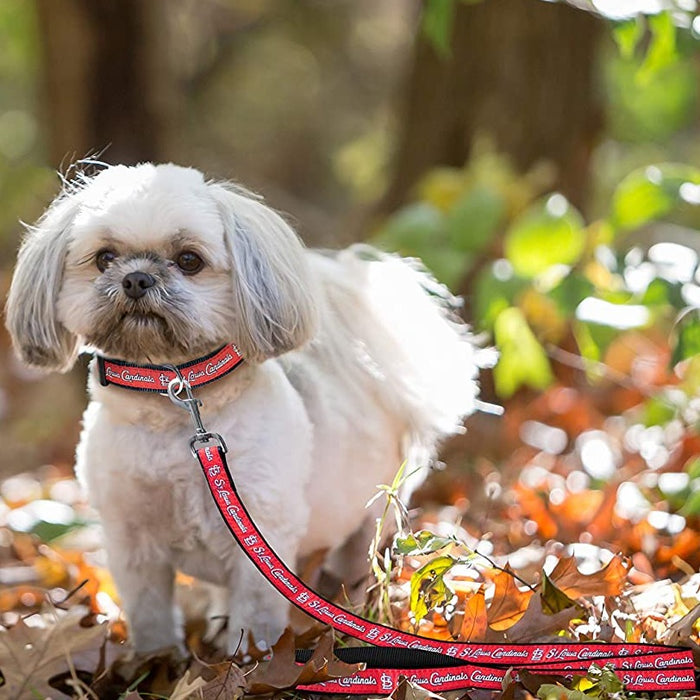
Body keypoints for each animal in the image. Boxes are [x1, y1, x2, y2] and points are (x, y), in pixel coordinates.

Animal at [4, 163, 476, 656]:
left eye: (189, 260)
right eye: (104, 257)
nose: (136, 279)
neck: (175, 400)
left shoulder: (260, 538)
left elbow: (255, 616)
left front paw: (248, 660)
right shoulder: (131, 542)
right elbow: (150, 616)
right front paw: (156, 662)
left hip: (369, 516)